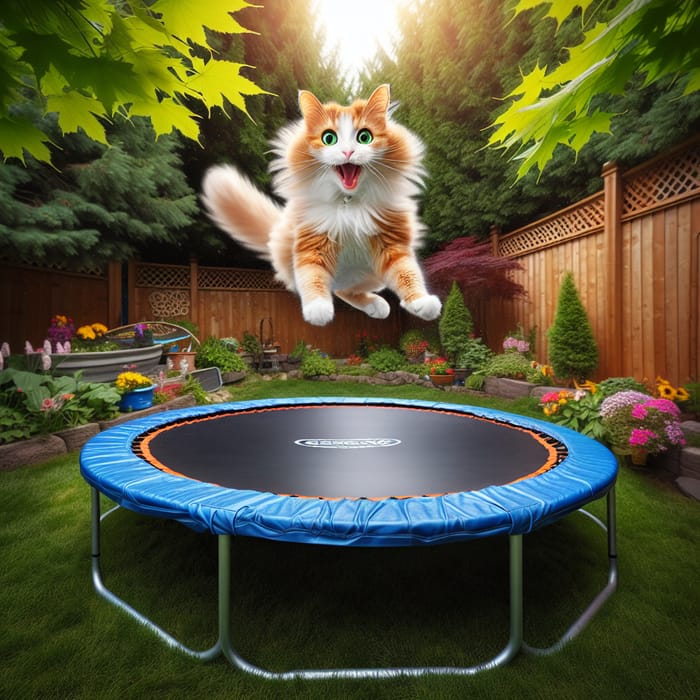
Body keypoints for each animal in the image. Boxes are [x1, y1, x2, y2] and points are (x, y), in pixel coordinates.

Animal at [202, 84, 440, 326]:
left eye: (364, 137)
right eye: (329, 138)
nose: (348, 152)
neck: (348, 203)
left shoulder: (391, 242)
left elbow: (407, 273)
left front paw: (423, 302)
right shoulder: (311, 242)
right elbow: (312, 276)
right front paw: (318, 309)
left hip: (369, 275)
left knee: (344, 290)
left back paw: (377, 305)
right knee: (334, 289)